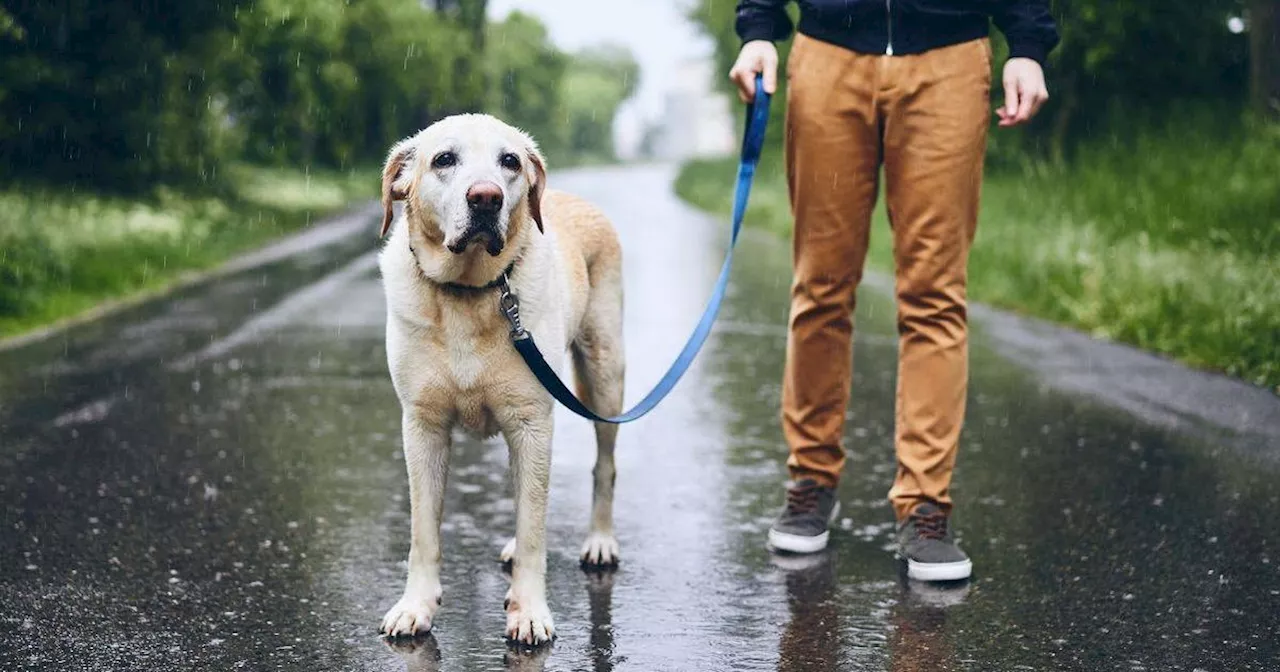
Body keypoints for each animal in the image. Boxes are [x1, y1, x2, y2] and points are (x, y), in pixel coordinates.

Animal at [373, 113, 624, 645]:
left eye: (509, 161)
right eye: (444, 159)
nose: (486, 198)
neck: (469, 292)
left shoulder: (531, 422)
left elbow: (534, 533)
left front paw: (528, 611)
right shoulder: (422, 426)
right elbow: (423, 531)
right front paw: (415, 606)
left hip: (605, 374)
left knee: (604, 466)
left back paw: (599, 541)